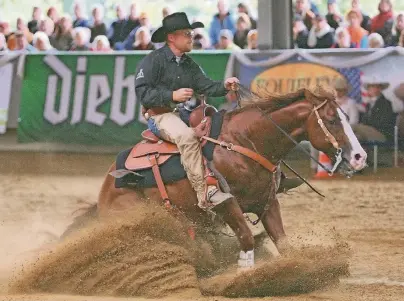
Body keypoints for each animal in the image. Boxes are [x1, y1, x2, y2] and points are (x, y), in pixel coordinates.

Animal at [63, 84, 366, 268]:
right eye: (331, 120)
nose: (359, 157)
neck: (244, 142)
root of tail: (105, 191)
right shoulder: (226, 205)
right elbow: (246, 238)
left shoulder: (267, 202)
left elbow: (283, 243)